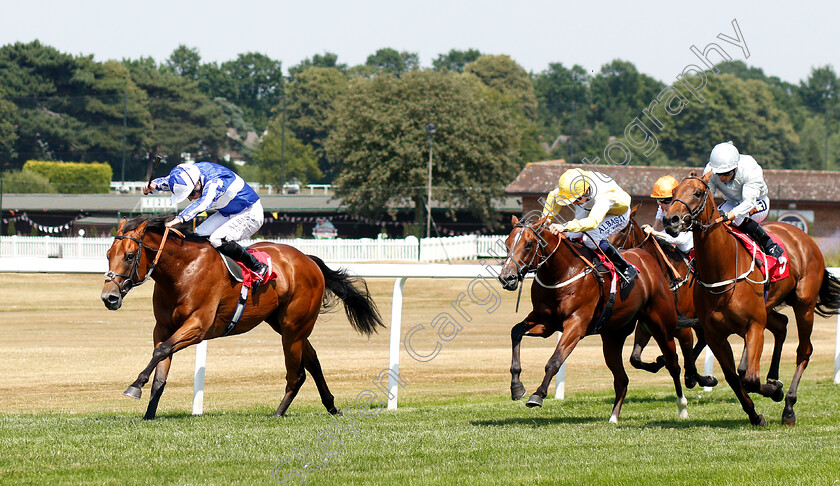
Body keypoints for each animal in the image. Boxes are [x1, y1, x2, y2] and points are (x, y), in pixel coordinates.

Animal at [99, 215, 384, 420]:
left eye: (129, 256)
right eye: (108, 255)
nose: (108, 297)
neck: (182, 271)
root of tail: (308, 260)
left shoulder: (198, 327)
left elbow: (161, 352)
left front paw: (134, 386)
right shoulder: (162, 327)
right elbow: (161, 366)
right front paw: (149, 414)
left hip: (294, 327)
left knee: (297, 373)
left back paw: (279, 413)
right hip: (283, 324)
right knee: (312, 360)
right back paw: (331, 406)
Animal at [498, 215, 688, 424]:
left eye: (529, 244)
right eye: (507, 243)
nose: (507, 278)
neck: (562, 272)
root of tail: (648, 259)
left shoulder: (576, 324)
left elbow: (555, 360)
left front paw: (538, 395)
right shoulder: (545, 322)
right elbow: (516, 331)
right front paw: (517, 387)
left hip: (661, 325)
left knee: (673, 363)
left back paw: (682, 407)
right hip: (613, 336)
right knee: (622, 378)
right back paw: (614, 417)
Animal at [608, 207, 720, 390]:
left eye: (623, 229)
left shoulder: (682, 326)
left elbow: (687, 356)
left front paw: (694, 377)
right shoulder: (648, 321)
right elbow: (635, 359)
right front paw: (659, 362)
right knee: (703, 339)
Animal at [664, 175, 840, 426]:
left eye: (697, 193)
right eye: (675, 191)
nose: (671, 219)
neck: (723, 270)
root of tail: (803, 237)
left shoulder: (754, 325)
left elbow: (750, 378)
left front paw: (775, 392)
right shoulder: (715, 335)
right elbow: (734, 378)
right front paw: (756, 413)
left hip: (804, 306)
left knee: (803, 350)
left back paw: (789, 406)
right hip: (769, 306)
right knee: (781, 325)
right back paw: (774, 378)